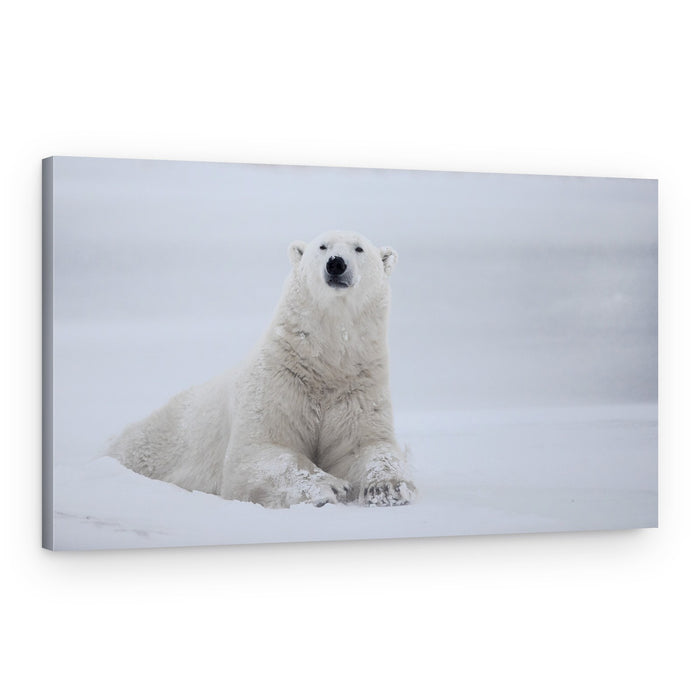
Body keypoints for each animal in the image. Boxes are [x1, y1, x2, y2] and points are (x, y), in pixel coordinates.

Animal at [109, 231, 416, 508]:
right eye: (322, 246)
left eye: (359, 248)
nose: (336, 263)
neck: (323, 366)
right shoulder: (279, 381)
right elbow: (258, 452)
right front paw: (329, 486)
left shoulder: (357, 387)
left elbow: (365, 446)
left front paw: (387, 488)